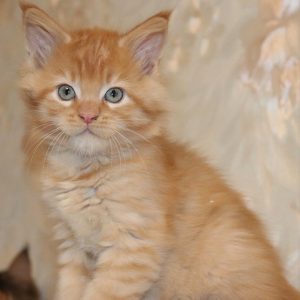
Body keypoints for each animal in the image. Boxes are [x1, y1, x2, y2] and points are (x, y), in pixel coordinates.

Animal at [19, 2, 298, 300]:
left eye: (114, 95)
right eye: (66, 92)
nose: (88, 116)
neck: (86, 171)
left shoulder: (132, 248)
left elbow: (101, 293)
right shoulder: (72, 246)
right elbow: (70, 290)